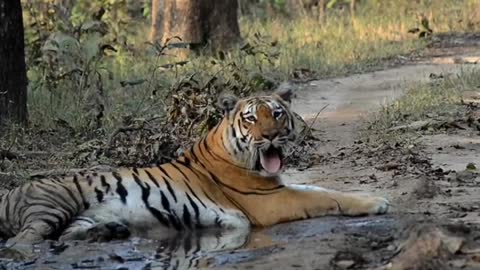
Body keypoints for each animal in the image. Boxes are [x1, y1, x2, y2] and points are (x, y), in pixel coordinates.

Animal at [0, 89, 388, 251]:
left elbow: (320, 190)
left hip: (79, 216)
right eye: (252, 118)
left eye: (277, 114)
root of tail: (9, 193)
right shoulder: (270, 200)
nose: (271, 135)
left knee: (66, 235)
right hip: (53, 204)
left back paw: (110, 231)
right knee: (26, 239)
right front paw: (376, 202)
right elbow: (327, 197)